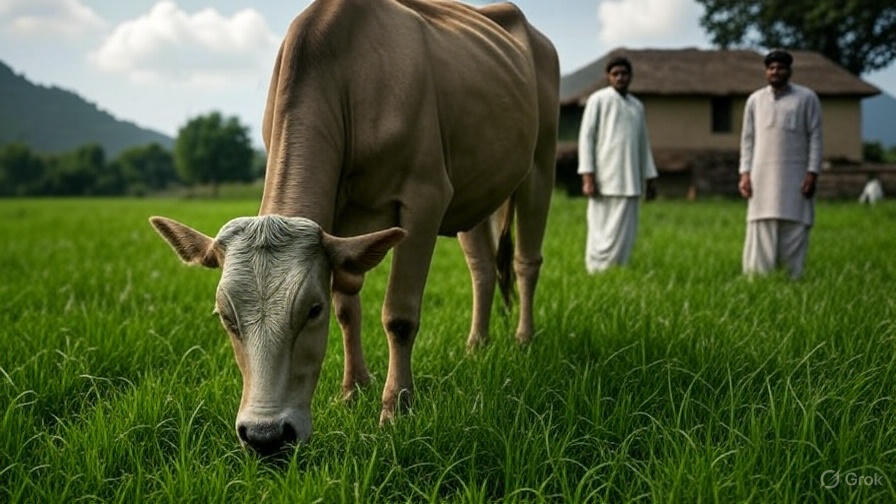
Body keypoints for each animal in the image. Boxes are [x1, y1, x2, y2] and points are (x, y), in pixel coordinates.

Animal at [150, 0, 558, 456]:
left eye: (312, 310)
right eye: (225, 316)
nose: (265, 436)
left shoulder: (426, 196)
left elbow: (399, 315)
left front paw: (396, 409)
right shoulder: (338, 222)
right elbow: (348, 308)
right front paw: (352, 390)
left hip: (540, 163)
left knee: (526, 261)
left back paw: (523, 339)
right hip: (477, 189)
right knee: (483, 269)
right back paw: (477, 346)